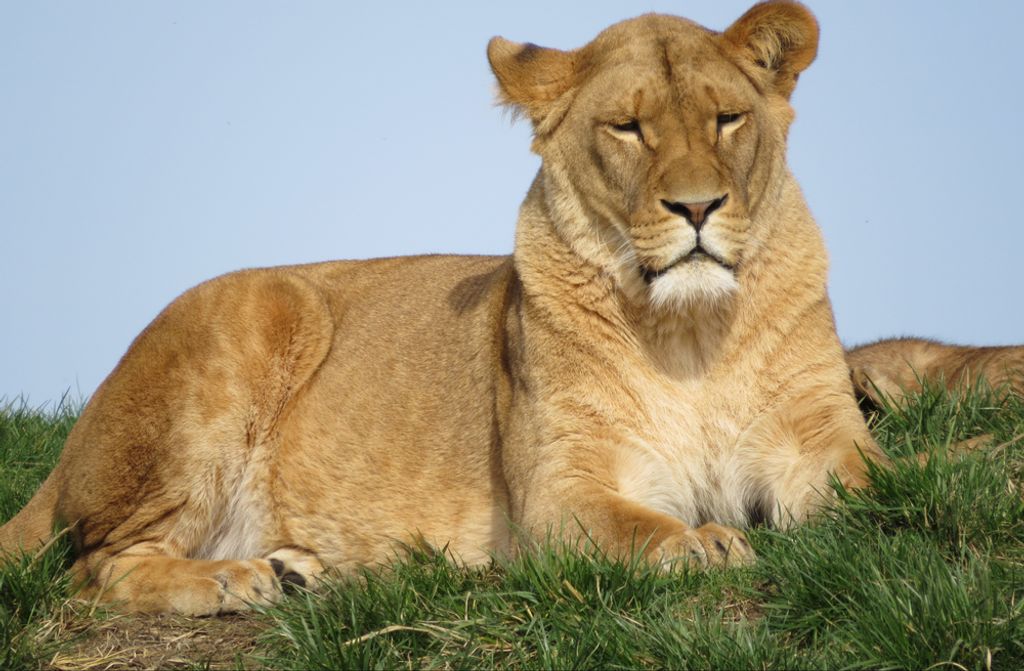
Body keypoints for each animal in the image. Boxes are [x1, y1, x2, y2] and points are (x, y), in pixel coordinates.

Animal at [1, 1, 1020, 616]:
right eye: (628, 127)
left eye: (727, 118)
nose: (697, 208)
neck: (691, 334)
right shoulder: (557, 495)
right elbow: (644, 529)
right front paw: (705, 545)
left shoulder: (821, 442)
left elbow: (891, 486)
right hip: (251, 317)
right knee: (96, 563)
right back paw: (239, 577)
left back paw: (291, 567)